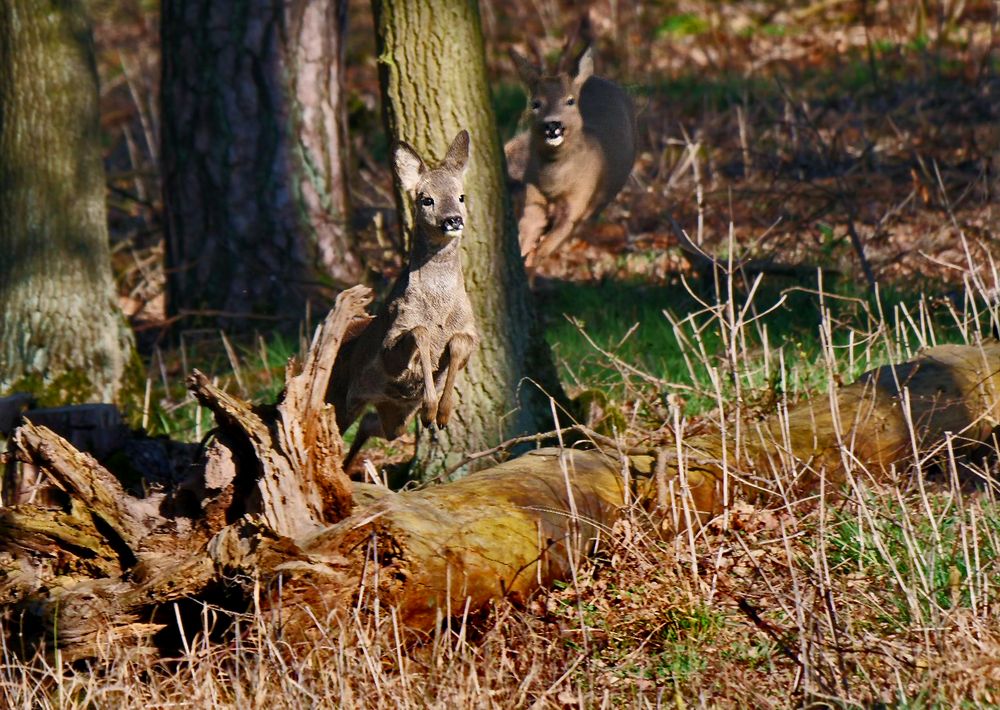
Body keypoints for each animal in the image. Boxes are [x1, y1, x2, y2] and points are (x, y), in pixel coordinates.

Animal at [330, 131, 478, 470]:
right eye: (426, 199)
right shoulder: (391, 340)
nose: (453, 220)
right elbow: (419, 332)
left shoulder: (471, 331)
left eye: (461, 196)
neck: (439, 305)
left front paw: (442, 413)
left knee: (373, 424)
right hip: (338, 396)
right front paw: (430, 408)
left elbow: (458, 344)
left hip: (394, 416)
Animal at [512, 43, 636, 270]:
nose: (552, 125)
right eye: (536, 103)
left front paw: (531, 260)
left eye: (569, 101)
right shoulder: (532, 194)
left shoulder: (579, 198)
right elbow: (528, 228)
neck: (554, 184)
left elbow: (549, 244)